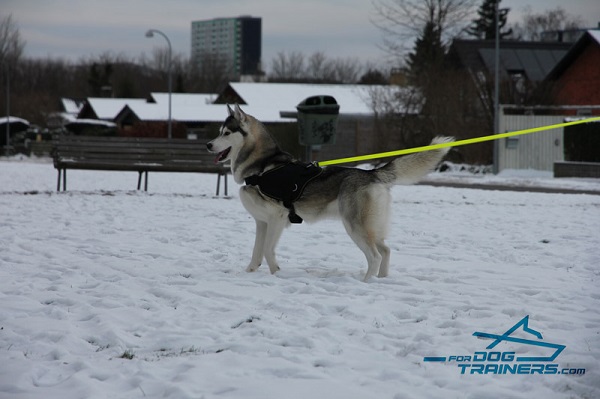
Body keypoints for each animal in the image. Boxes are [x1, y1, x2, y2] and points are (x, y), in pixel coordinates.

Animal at [209, 104, 452, 282]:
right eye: (219, 132)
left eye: (226, 133)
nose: (208, 144)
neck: (261, 167)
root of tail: (372, 173)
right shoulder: (262, 223)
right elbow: (256, 252)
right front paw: (250, 272)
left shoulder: (277, 219)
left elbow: (268, 250)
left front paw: (277, 272)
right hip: (372, 228)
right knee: (386, 250)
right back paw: (381, 279)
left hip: (355, 227)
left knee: (374, 256)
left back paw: (366, 282)